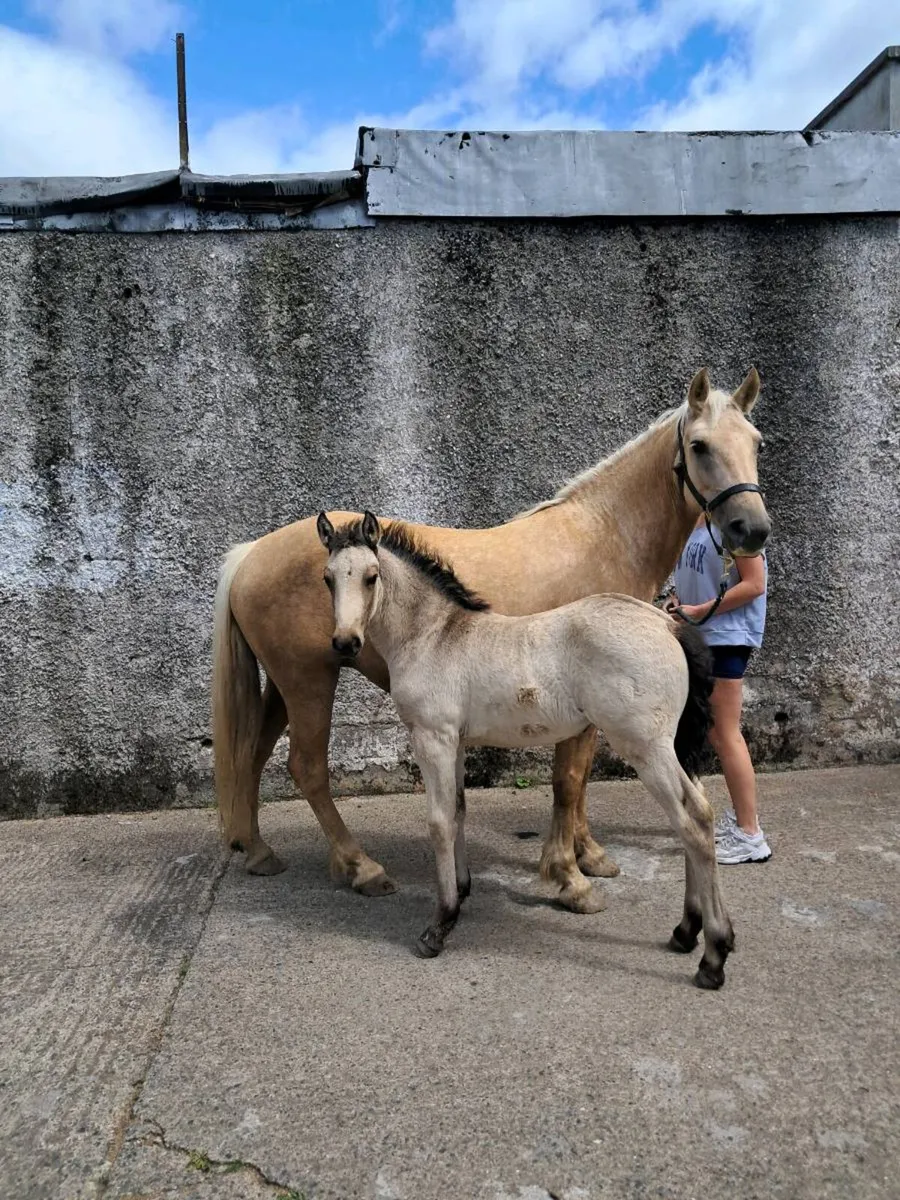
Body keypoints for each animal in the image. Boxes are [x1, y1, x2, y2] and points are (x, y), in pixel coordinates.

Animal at [213, 367, 770, 911]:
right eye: (699, 445)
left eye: (756, 442)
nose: (753, 529)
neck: (602, 535)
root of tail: (252, 552)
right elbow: (569, 780)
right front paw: (568, 876)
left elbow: (580, 778)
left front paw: (588, 856)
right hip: (309, 683)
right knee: (307, 768)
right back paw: (361, 867)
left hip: (284, 686)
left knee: (253, 754)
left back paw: (258, 850)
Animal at [317, 509, 732, 989]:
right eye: (328, 578)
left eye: (371, 576)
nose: (345, 642)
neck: (435, 636)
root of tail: (667, 624)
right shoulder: (455, 742)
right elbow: (458, 811)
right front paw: (462, 892)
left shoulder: (432, 738)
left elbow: (439, 821)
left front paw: (439, 925)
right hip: (675, 745)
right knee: (696, 815)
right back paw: (686, 931)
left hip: (646, 747)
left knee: (694, 819)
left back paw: (714, 956)